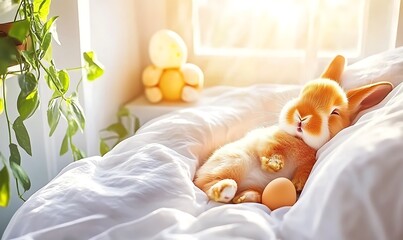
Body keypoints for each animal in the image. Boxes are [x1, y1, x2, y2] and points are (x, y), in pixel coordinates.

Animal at [194, 55, 392, 204]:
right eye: (302, 93)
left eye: (334, 112)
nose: (302, 116)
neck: (300, 140)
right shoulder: (268, 141)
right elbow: (270, 150)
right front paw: (273, 165)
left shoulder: (309, 161)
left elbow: (305, 169)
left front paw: (299, 184)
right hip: (234, 162)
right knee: (208, 186)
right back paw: (226, 189)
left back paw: (245, 197)